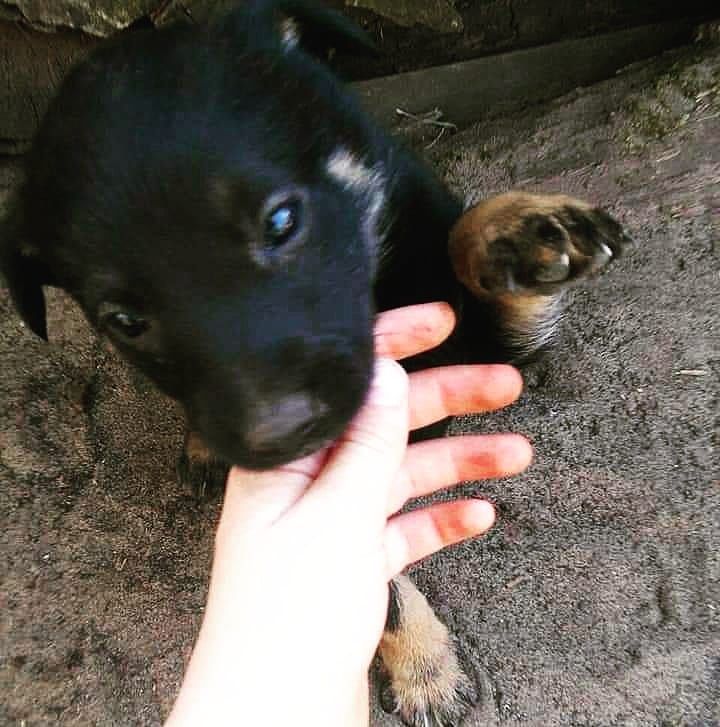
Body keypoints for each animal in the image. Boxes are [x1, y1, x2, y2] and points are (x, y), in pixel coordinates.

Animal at [0, 2, 628, 724]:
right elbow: (375, 580)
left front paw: (516, 235)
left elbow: (470, 252)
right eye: (124, 320)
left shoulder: (492, 344)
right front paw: (425, 667)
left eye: (280, 221)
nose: (279, 434)